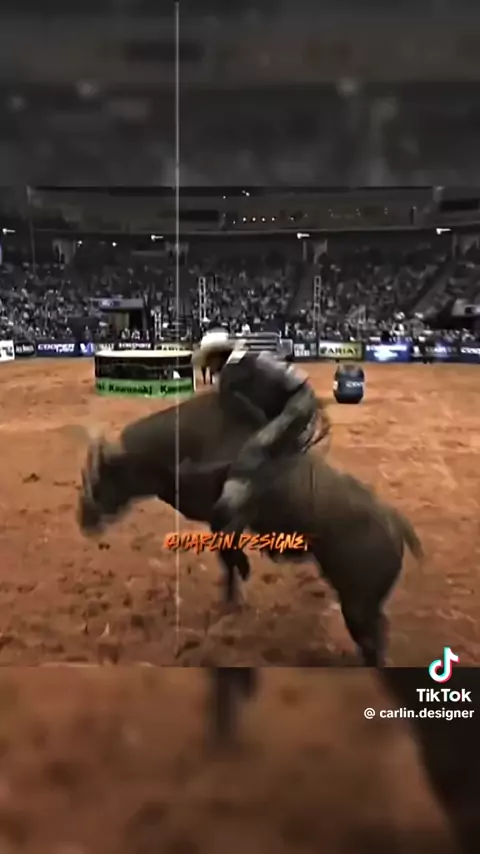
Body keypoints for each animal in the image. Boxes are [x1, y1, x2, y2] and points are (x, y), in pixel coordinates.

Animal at [78, 390, 423, 667]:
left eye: (101, 477)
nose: (84, 520)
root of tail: (395, 525)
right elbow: (226, 559)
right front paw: (232, 599)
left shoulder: (227, 516)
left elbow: (229, 554)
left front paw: (239, 582)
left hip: (358, 605)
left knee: (372, 644)